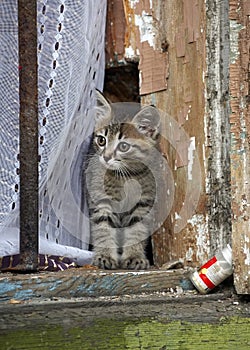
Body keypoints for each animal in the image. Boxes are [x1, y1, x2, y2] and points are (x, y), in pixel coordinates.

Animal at [85, 91, 161, 270]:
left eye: (123, 146)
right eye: (101, 140)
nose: (106, 157)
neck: (124, 176)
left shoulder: (142, 204)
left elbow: (137, 230)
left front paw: (134, 257)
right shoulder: (101, 201)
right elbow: (103, 229)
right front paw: (104, 256)